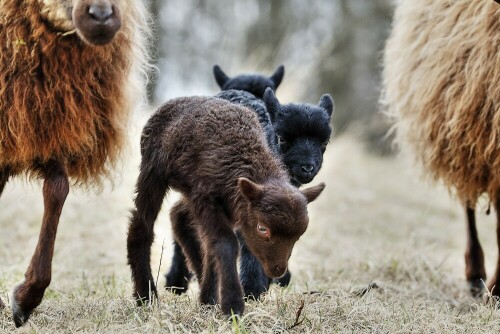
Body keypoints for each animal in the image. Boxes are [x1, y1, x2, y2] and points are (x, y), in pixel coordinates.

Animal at [127, 96, 326, 316]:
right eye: (262, 229)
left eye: (298, 236)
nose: (278, 270)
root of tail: (173, 102)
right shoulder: (206, 200)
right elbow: (226, 243)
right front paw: (233, 305)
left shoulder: (227, 205)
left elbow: (213, 245)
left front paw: (209, 301)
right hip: (153, 173)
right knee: (141, 227)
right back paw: (146, 296)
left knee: (178, 216)